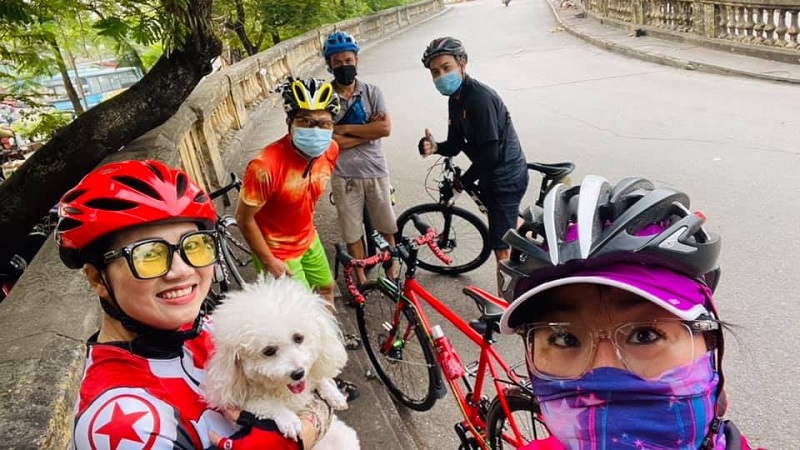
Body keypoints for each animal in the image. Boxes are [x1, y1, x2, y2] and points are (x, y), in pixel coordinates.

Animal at [203, 276, 360, 448]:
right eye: (268, 351)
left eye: (298, 338)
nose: (298, 373)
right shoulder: (242, 401)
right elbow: (266, 404)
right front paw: (288, 420)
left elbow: (319, 377)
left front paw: (335, 395)